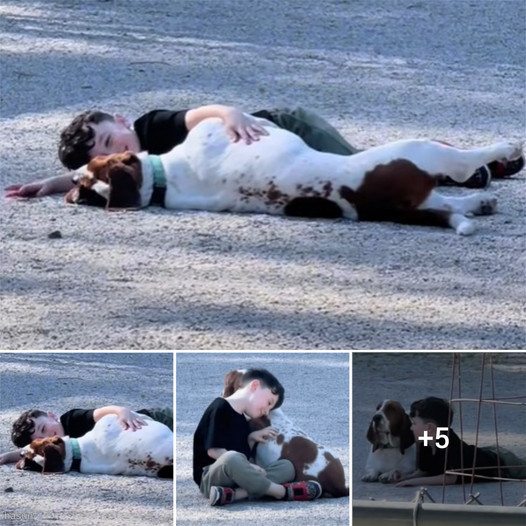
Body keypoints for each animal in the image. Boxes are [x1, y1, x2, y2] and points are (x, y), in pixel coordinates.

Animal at [65, 118, 524, 238]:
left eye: (81, 181)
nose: (70, 185)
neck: (161, 179)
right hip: (419, 150)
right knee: (463, 165)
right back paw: (505, 148)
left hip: (424, 191)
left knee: (452, 205)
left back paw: (481, 203)